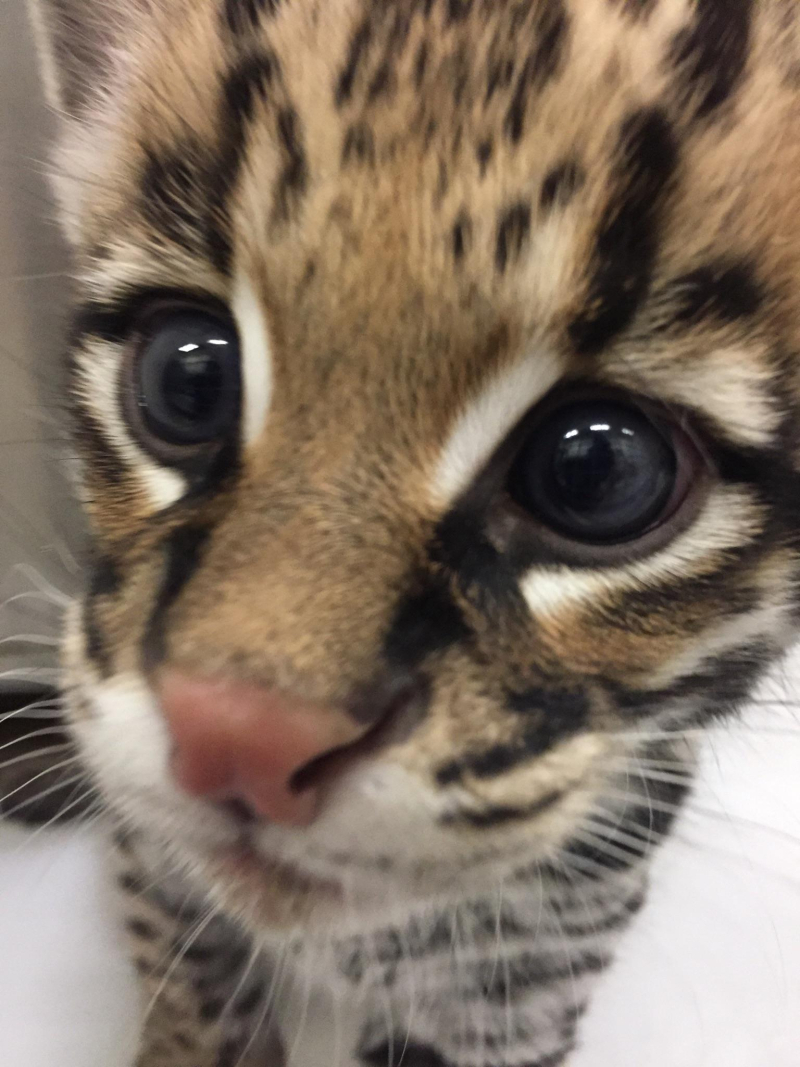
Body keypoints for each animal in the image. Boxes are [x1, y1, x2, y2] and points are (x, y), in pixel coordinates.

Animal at [20, 0, 800, 1062]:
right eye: (187, 375)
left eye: (597, 470)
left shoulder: (522, 988)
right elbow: (193, 998)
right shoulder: (162, 873)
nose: (237, 737)